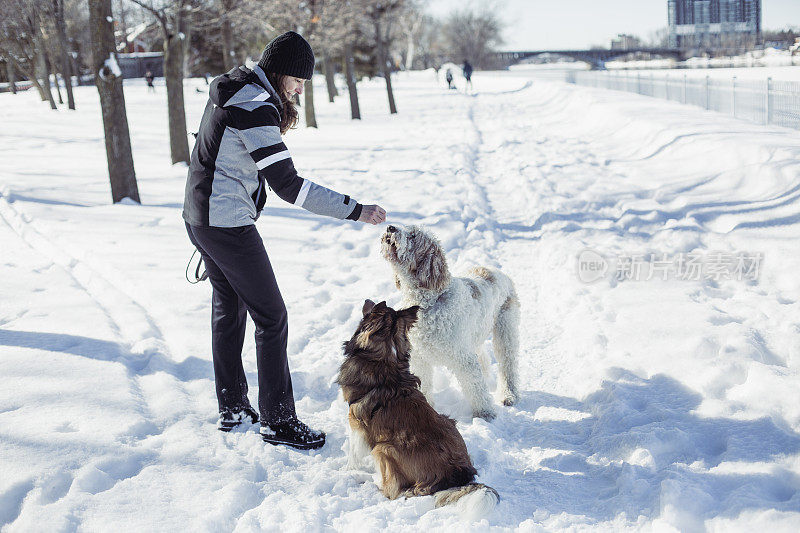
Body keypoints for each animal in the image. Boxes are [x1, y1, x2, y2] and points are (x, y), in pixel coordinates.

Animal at [334, 300, 496, 512]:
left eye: (372, 310)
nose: (367, 300)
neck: (384, 358)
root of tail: (455, 476)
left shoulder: (356, 424)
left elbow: (353, 454)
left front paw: (347, 470)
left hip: (384, 448)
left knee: (392, 490)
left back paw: (362, 479)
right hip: (447, 420)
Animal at [380, 224, 520, 420]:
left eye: (413, 235)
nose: (390, 227)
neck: (429, 302)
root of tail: (498, 271)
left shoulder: (463, 358)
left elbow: (476, 388)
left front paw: (485, 414)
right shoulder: (419, 359)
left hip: (505, 330)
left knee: (508, 365)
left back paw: (509, 395)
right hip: (475, 337)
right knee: (484, 359)